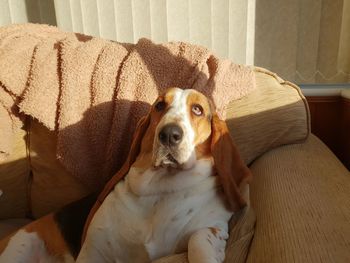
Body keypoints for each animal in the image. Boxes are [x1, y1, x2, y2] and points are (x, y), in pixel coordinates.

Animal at [0, 87, 252, 262]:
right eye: (159, 105)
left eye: (197, 109)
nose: (169, 134)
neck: (162, 190)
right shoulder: (93, 252)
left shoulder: (214, 226)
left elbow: (198, 239)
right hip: (20, 246)